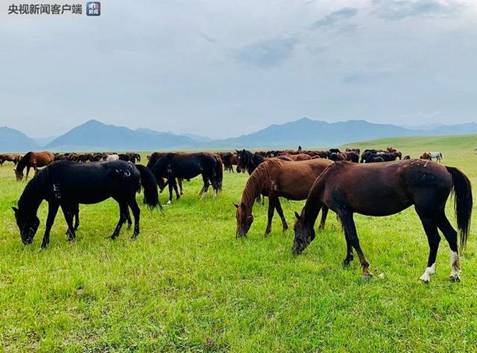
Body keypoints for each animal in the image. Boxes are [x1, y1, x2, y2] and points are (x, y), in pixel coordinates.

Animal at [11, 160, 159, 248]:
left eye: (24, 221)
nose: (25, 241)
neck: (48, 178)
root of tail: (134, 167)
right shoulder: (65, 202)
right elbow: (68, 218)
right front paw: (71, 236)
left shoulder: (55, 202)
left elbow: (50, 222)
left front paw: (44, 244)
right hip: (121, 198)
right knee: (123, 215)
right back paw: (113, 236)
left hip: (127, 197)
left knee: (136, 212)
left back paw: (134, 235)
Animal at [292, 160, 470, 284]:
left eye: (296, 230)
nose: (293, 251)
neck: (329, 180)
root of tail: (445, 168)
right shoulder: (346, 213)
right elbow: (348, 238)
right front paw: (347, 261)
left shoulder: (344, 212)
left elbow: (353, 238)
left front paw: (365, 269)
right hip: (437, 212)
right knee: (451, 234)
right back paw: (454, 273)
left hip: (427, 214)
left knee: (434, 239)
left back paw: (427, 274)